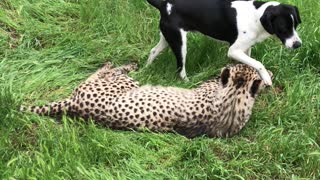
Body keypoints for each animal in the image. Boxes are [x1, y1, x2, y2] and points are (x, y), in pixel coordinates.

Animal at [146, 0, 302, 85]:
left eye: (296, 25)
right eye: (283, 29)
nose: (298, 45)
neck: (256, 16)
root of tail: (164, 5)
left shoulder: (245, 49)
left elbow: (250, 63)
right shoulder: (234, 51)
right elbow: (258, 63)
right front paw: (266, 78)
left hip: (168, 38)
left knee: (153, 51)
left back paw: (146, 68)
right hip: (180, 43)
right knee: (180, 69)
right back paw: (188, 83)